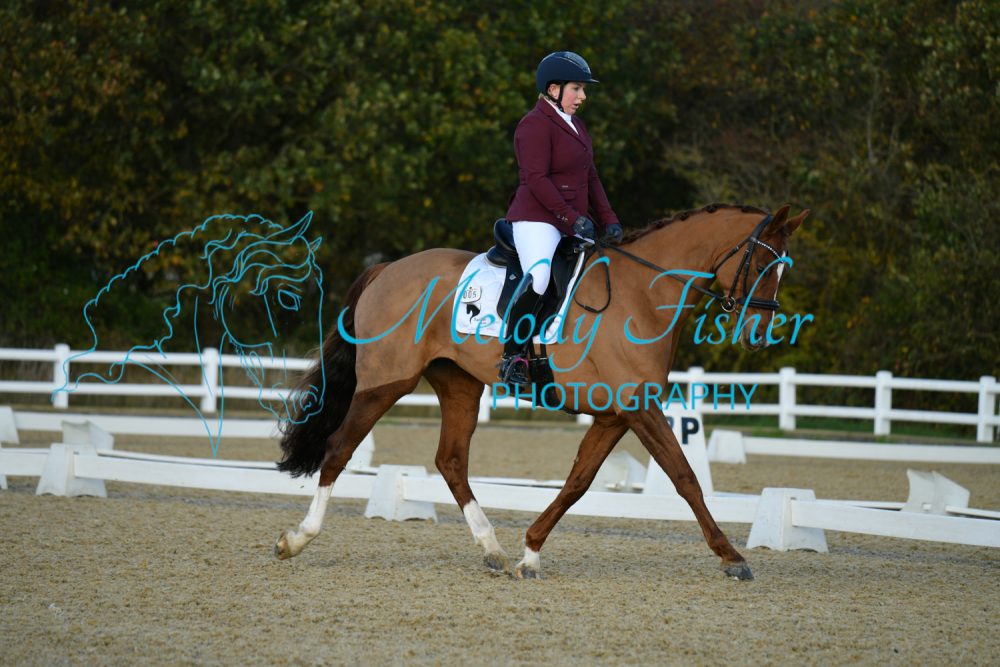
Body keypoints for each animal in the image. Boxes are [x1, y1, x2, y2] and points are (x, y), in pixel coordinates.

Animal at [275, 203, 808, 580]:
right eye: (760, 263)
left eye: (784, 269)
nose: (759, 335)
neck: (643, 295)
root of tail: (387, 268)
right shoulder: (639, 408)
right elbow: (684, 477)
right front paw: (732, 557)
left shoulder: (615, 414)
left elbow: (578, 482)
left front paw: (529, 553)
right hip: (386, 382)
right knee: (339, 448)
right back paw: (297, 539)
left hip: (460, 385)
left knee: (451, 461)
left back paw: (491, 549)